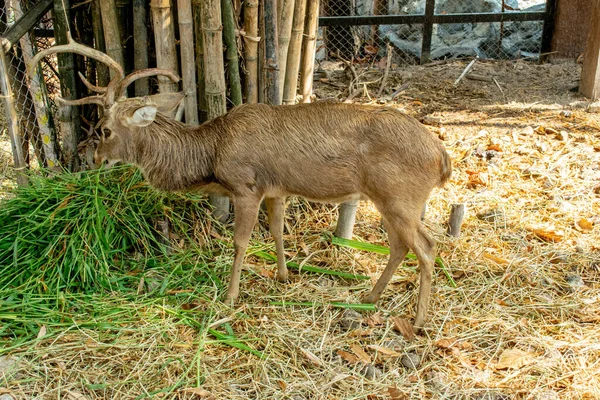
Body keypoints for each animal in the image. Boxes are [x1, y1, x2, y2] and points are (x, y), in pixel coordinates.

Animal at [29, 36, 450, 330]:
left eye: (103, 129)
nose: (91, 158)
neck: (212, 155)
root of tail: (442, 158)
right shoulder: (276, 190)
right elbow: (277, 231)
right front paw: (283, 276)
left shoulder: (246, 187)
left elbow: (241, 242)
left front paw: (230, 297)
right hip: (391, 201)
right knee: (400, 246)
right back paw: (370, 296)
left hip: (398, 196)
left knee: (427, 247)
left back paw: (418, 320)